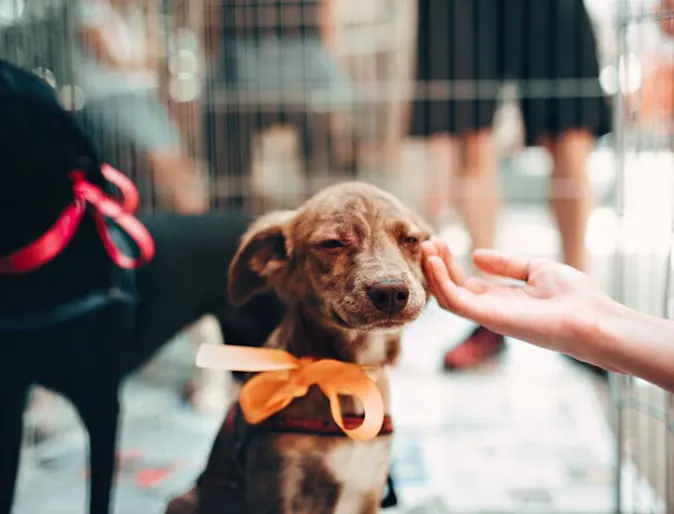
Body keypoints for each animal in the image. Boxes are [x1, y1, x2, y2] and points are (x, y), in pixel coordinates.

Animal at [165, 182, 434, 512]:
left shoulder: (368, 490)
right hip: (184, 501)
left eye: (410, 240)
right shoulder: (280, 486)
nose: (392, 292)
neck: (345, 375)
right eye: (331, 244)